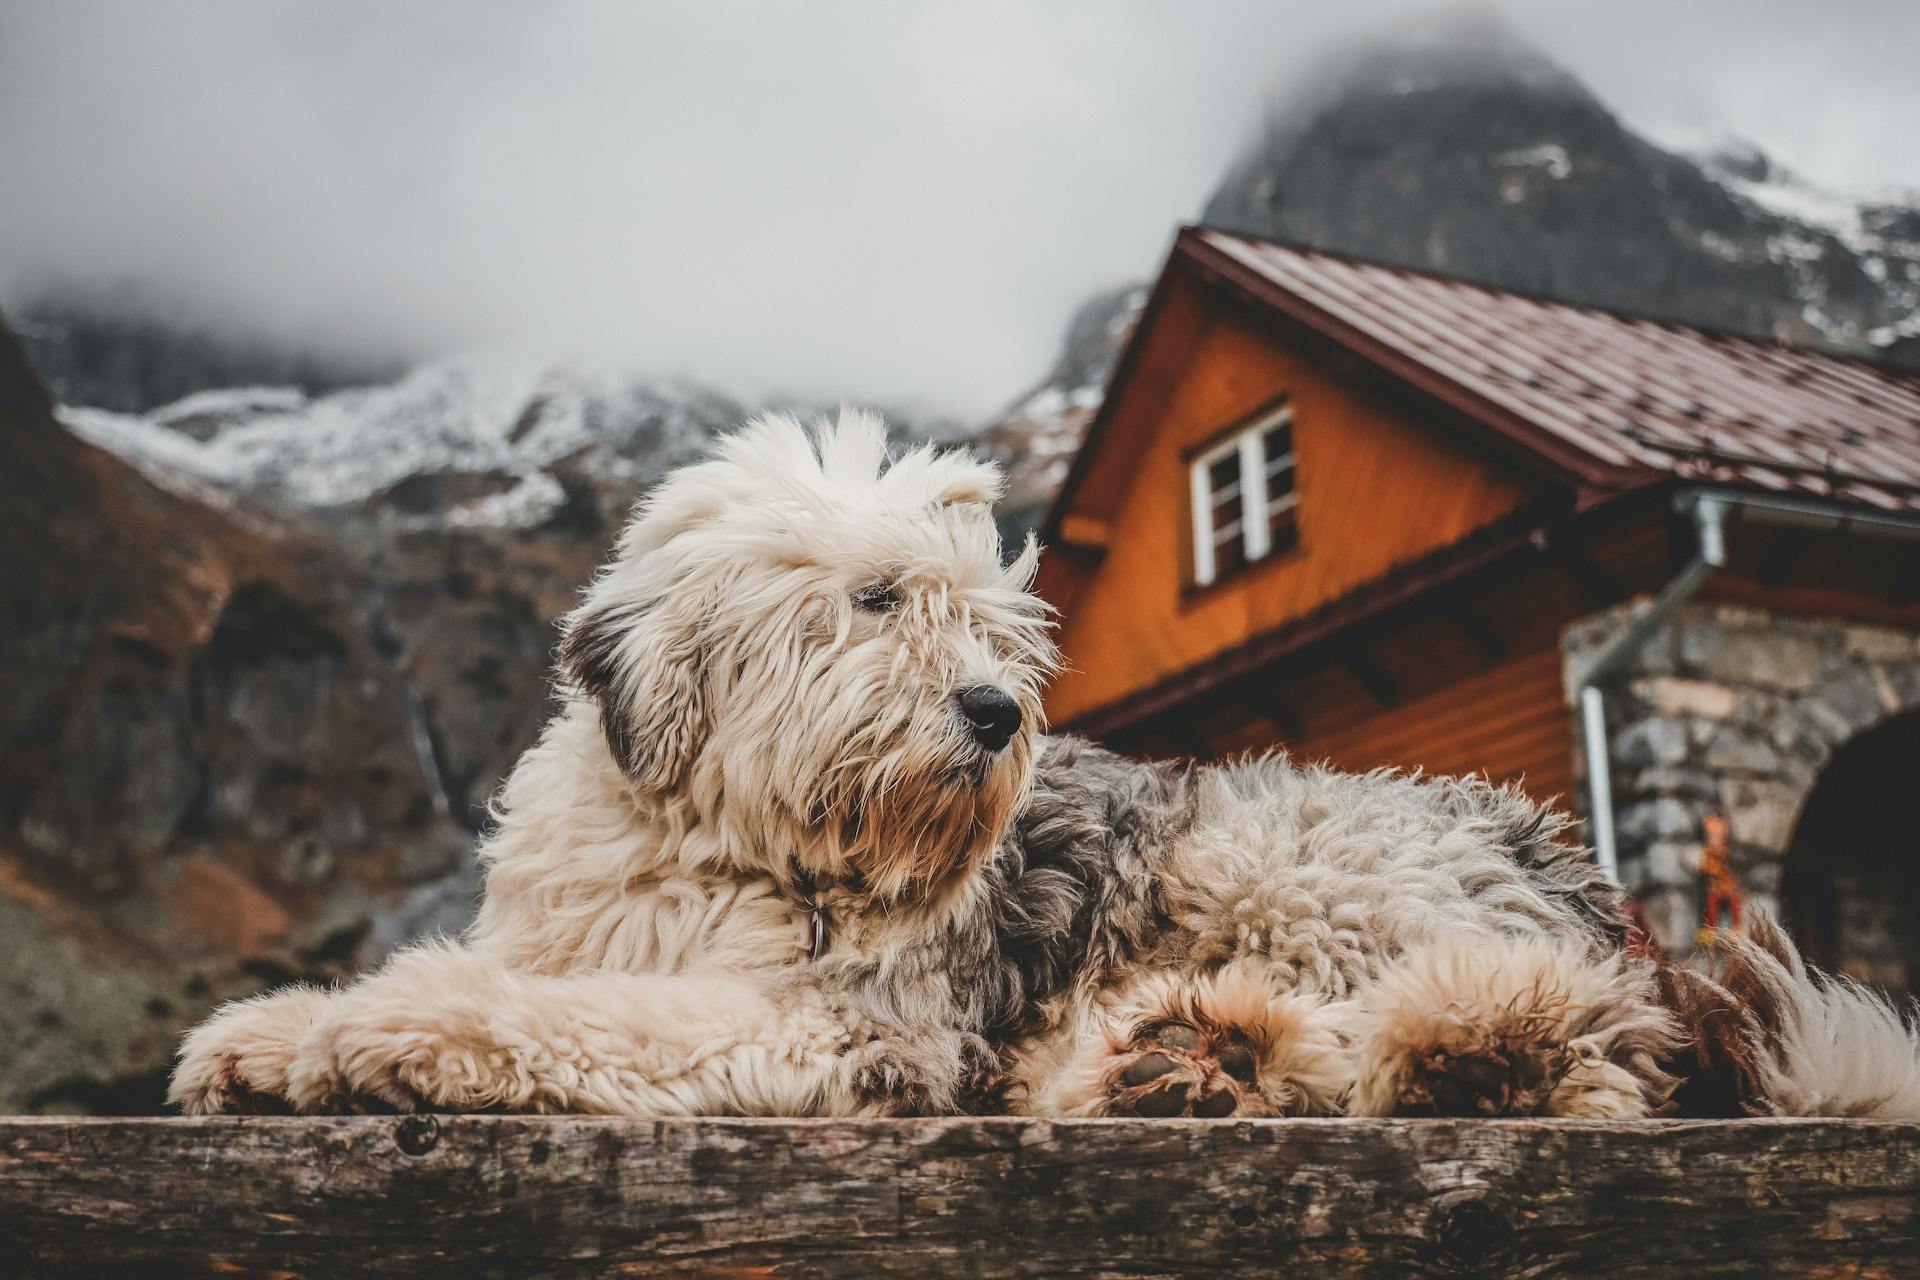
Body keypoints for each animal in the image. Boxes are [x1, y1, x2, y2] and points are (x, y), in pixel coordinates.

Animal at [172, 412, 1912, 1120]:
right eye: (878, 600)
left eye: (992, 623)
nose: (996, 715)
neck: (720, 846)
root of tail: (1576, 878)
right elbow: (536, 982)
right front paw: (268, 1037)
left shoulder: (845, 1024)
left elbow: (575, 1017)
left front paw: (396, 1028)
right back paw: (1186, 1061)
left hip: (1273, 853)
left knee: (1560, 1050)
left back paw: (1388, 1050)